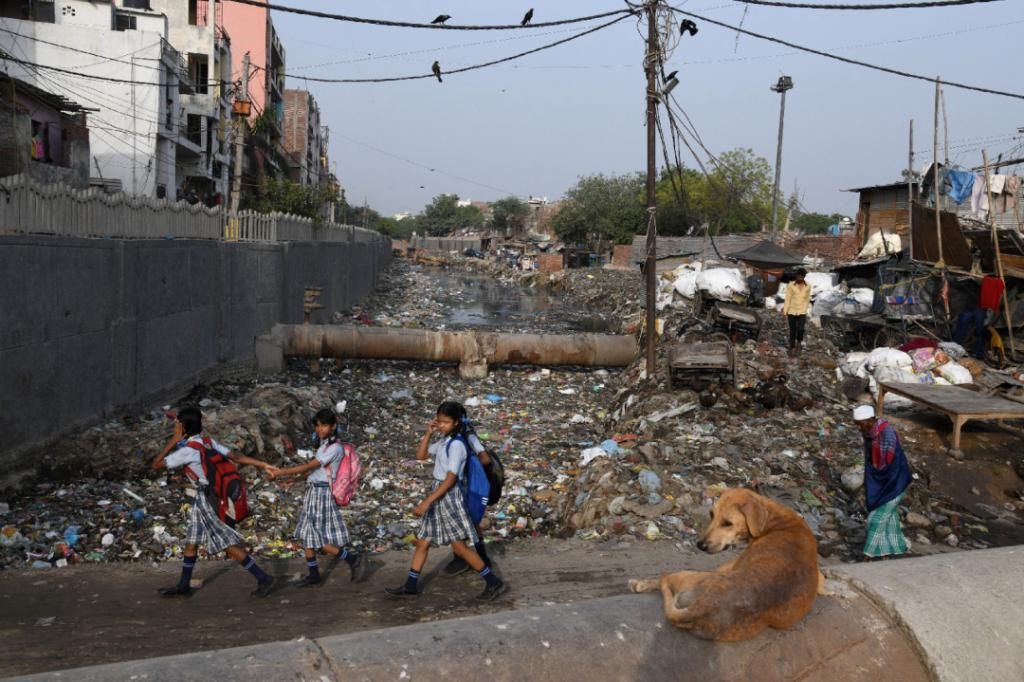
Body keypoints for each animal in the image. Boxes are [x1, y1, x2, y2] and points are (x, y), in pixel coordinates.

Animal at [626, 489, 827, 638]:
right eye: (711, 514)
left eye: (728, 523)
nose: (700, 545)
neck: (774, 519)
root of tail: (703, 607)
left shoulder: (729, 564)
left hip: (691, 574)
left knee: (664, 578)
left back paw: (639, 583)